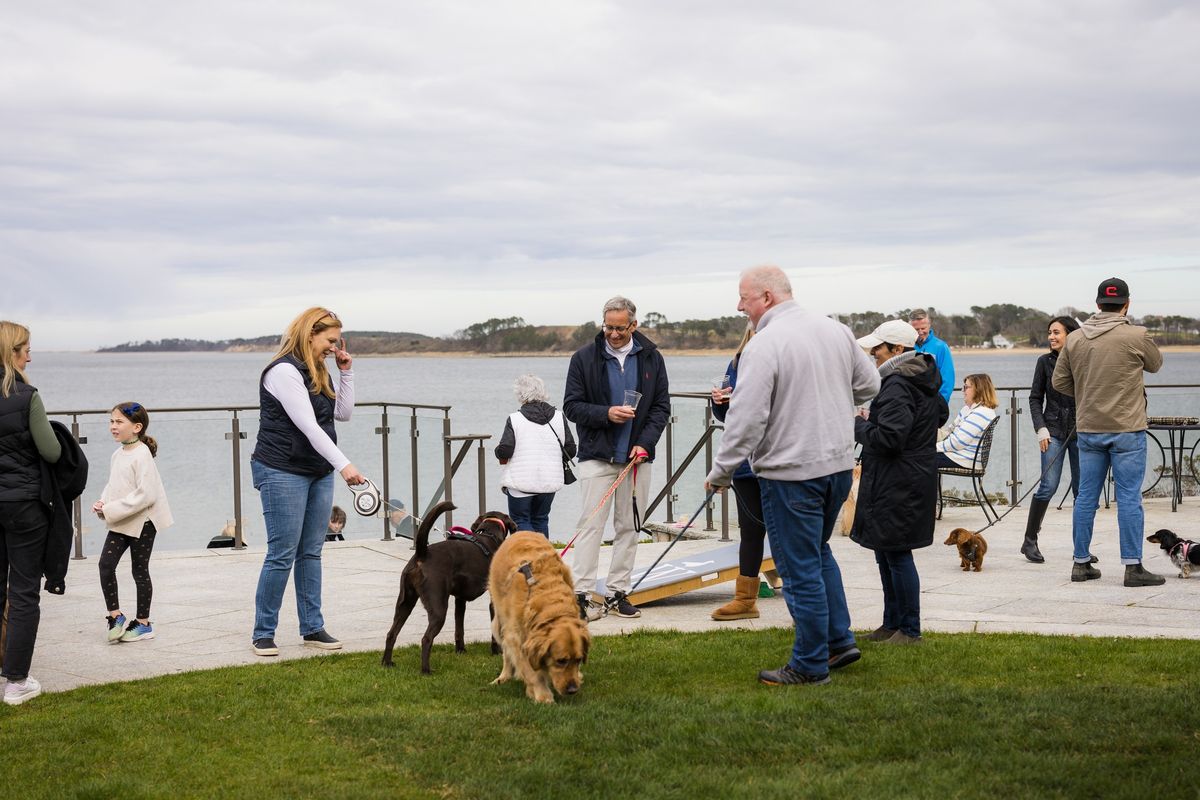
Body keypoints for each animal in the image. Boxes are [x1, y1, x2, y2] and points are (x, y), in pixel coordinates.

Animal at [384, 503, 516, 671]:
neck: (489, 534)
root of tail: (422, 553)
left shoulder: (460, 600)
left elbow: (459, 628)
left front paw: (460, 650)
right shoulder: (493, 601)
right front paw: (496, 652)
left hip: (405, 602)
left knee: (391, 634)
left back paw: (387, 663)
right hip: (438, 607)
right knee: (426, 639)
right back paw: (426, 670)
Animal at [487, 534, 590, 705]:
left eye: (579, 660)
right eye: (561, 661)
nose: (572, 690)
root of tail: (520, 532)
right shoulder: (517, 638)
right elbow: (532, 671)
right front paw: (543, 695)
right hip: (499, 622)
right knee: (506, 653)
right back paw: (504, 677)